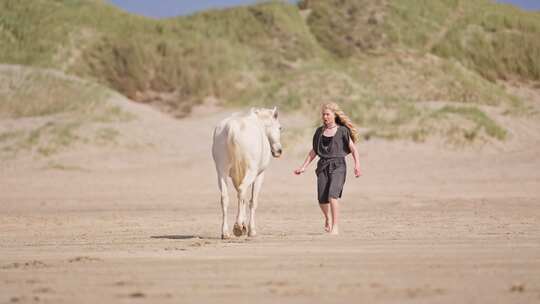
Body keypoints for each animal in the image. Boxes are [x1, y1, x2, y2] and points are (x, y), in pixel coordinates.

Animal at [211, 108, 282, 239]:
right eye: (280, 128)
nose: (279, 151)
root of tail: (232, 128)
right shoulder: (259, 175)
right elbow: (252, 201)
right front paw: (250, 230)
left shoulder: (237, 176)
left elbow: (242, 199)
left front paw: (243, 225)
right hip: (251, 172)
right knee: (242, 190)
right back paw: (238, 227)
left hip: (221, 173)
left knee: (225, 197)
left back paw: (226, 232)